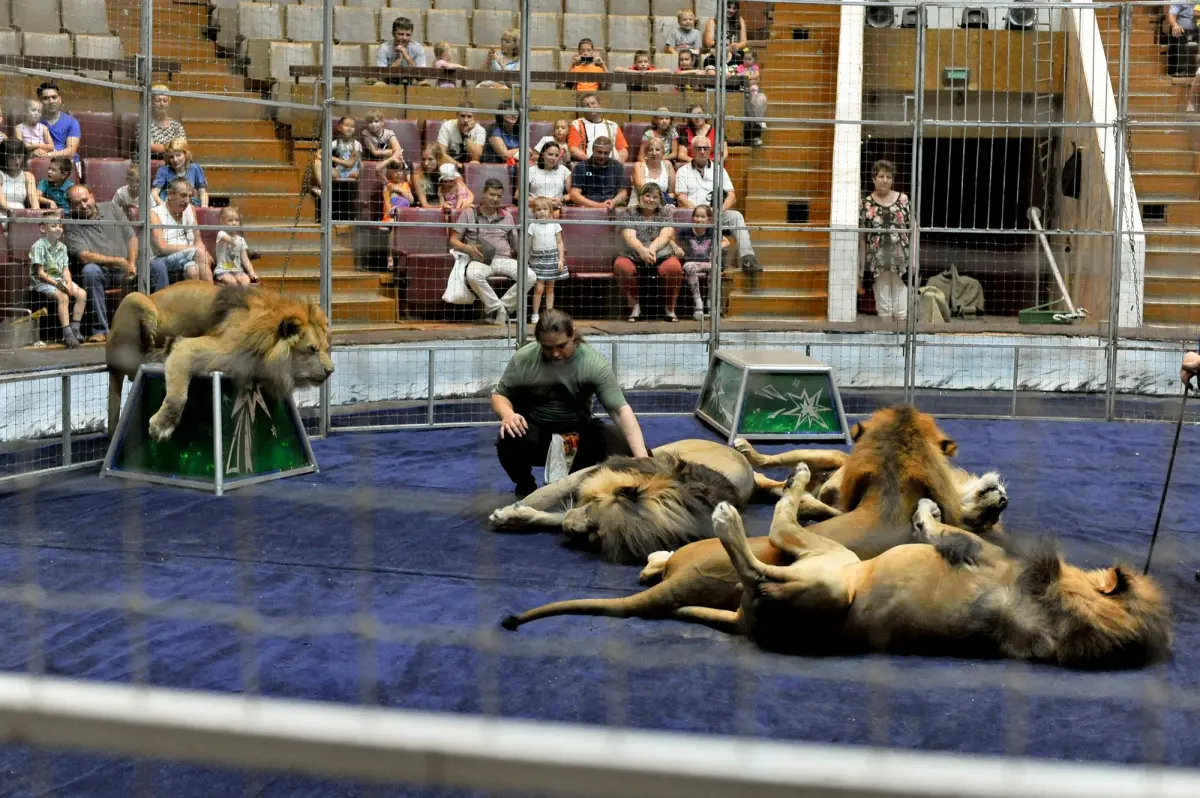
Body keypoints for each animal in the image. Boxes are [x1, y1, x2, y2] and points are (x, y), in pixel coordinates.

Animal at [105, 282, 333, 441]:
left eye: (326, 349)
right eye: (311, 349)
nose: (331, 370)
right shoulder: (193, 348)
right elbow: (177, 397)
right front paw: (161, 428)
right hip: (135, 299)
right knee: (139, 356)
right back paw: (158, 352)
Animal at [482, 439, 792, 564]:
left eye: (596, 535)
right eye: (593, 508)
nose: (570, 531)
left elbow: (555, 516)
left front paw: (517, 516)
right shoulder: (593, 471)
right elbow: (546, 495)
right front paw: (506, 512)